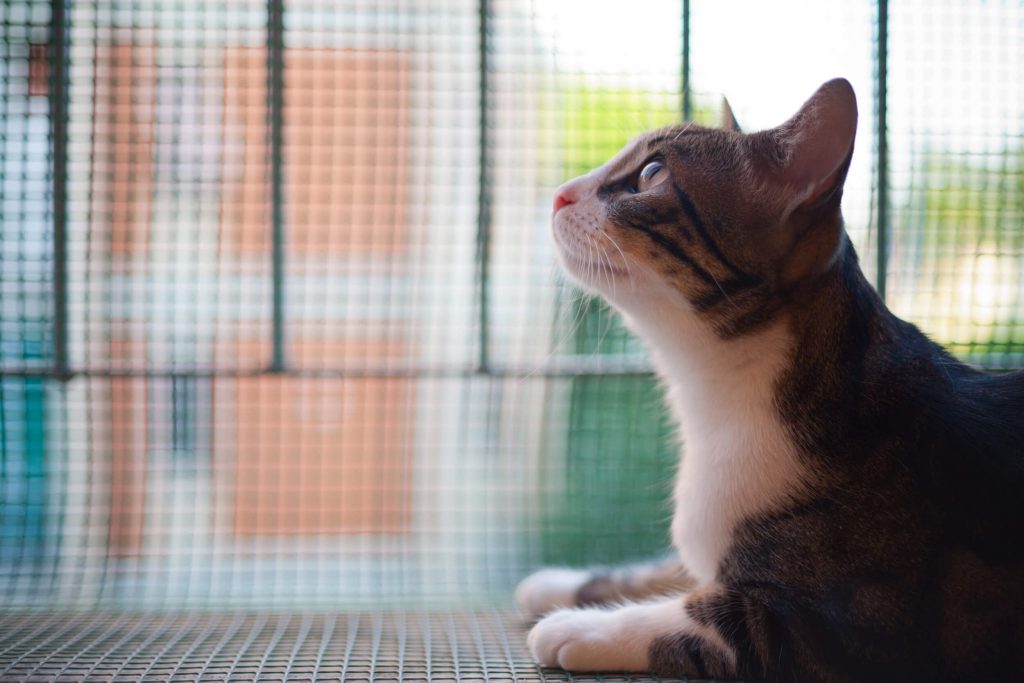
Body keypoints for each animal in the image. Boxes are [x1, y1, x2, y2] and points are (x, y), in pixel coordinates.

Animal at [517, 79, 1024, 682]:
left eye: (652, 174)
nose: (559, 194)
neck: (712, 402)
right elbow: (664, 568)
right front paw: (558, 583)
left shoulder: (841, 629)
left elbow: (702, 616)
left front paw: (578, 627)